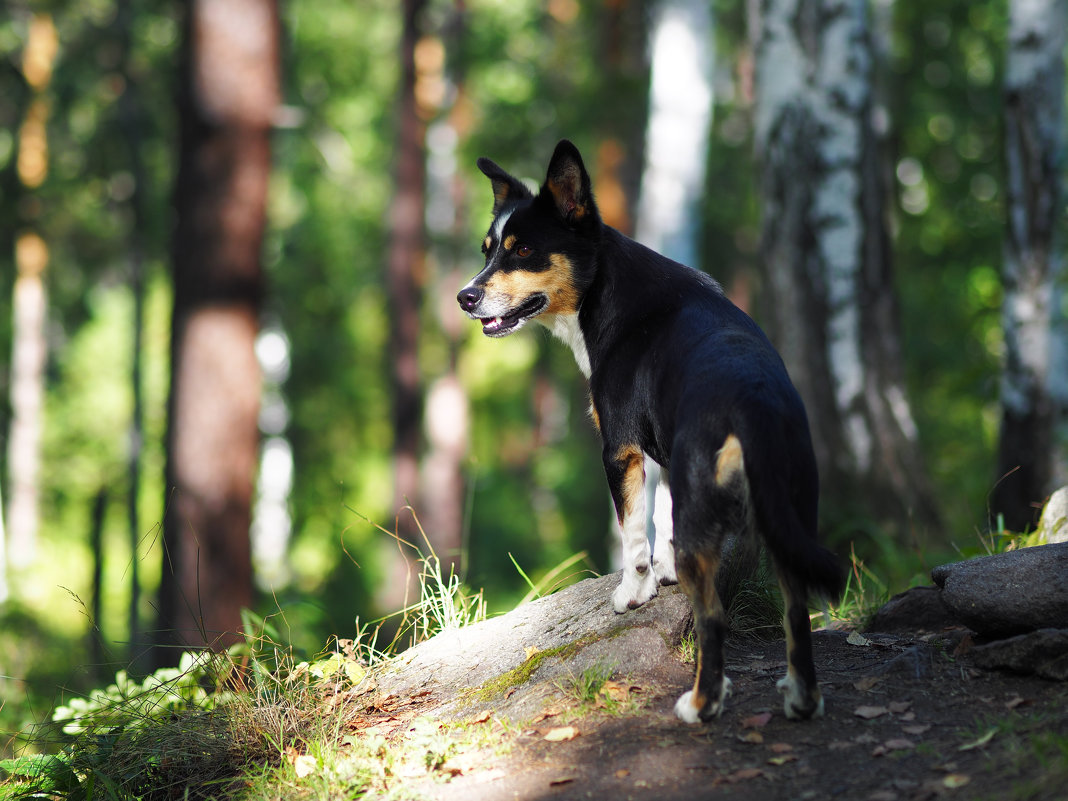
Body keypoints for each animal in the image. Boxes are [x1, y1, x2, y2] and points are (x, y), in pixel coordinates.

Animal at [454, 140, 845, 726]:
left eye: (522, 251)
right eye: (488, 251)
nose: (465, 297)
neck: (606, 291)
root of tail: (753, 401)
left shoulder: (619, 448)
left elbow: (633, 532)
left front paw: (633, 592)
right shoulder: (660, 452)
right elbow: (661, 518)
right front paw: (660, 577)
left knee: (713, 617)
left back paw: (700, 704)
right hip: (789, 517)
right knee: (796, 613)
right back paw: (802, 699)